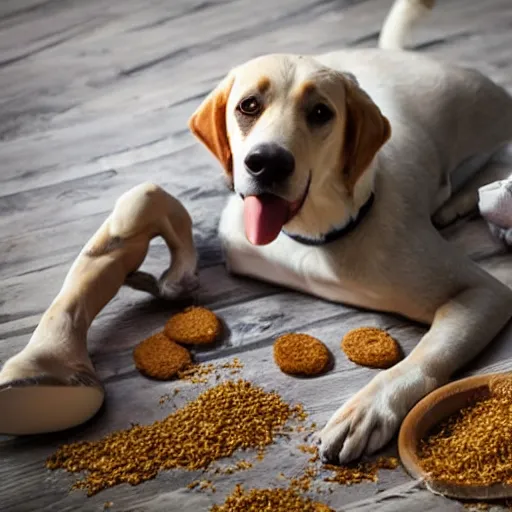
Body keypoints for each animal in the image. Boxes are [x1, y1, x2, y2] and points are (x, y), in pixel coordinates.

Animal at [188, 0, 512, 464]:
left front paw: (368, 410)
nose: (267, 162)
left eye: (321, 113)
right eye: (248, 106)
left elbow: (424, 359)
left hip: (489, 119)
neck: (315, 236)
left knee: (496, 167)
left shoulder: (484, 294)